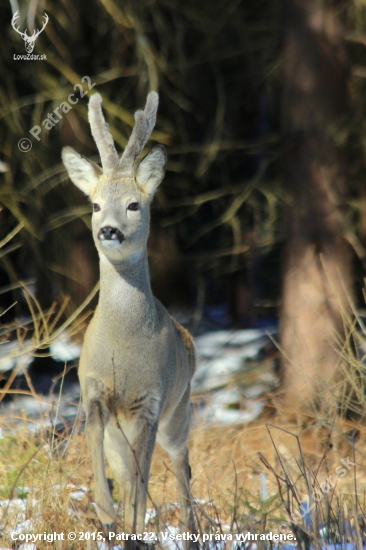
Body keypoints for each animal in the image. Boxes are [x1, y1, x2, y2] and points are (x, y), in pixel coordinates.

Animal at [62, 92, 197, 548]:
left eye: (134, 204)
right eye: (95, 204)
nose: (108, 230)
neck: (122, 347)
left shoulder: (149, 403)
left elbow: (141, 485)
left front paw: (133, 526)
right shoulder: (93, 394)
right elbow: (110, 476)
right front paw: (106, 518)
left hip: (180, 410)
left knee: (181, 464)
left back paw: (190, 530)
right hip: (122, 433)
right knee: (130, 473)